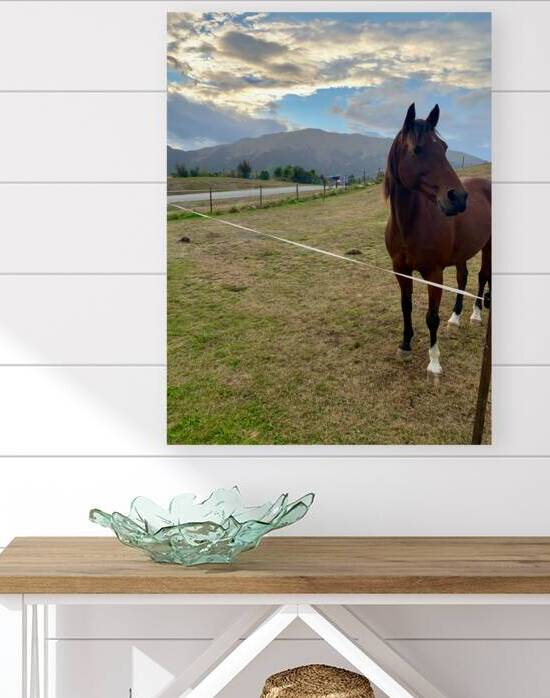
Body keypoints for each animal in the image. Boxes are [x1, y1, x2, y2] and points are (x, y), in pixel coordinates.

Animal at [384, 103, 491, 378]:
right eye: (417, 149)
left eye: (443, 147)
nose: (458, 198)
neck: (409, 224)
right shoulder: (401, 271)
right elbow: (406, 306)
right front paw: (405, 345)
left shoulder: (434, 273)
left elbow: (431, 317)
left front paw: (434, 362)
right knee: (463, 278)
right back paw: (455, 318)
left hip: (489, 246)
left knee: (482, 276)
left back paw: (476, 315)